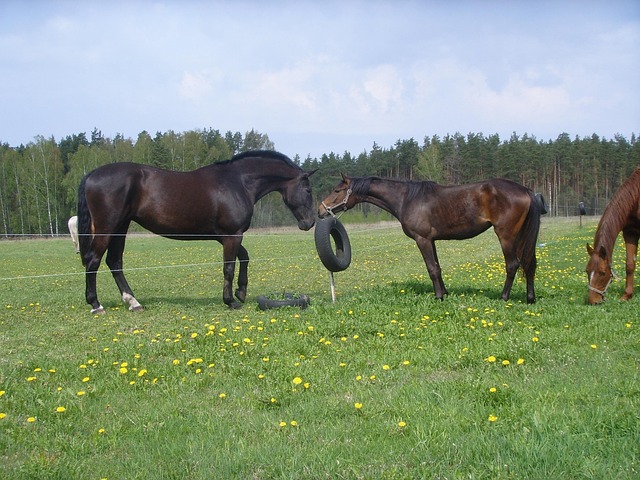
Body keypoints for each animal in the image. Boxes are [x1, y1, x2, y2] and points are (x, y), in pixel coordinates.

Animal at [77, 150, 316, 314]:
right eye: (308, 189)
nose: (309, 222)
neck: (238, 182)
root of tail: (91, 174)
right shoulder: (232, 235)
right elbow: (229, 268)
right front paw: (231, 300)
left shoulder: (226, 236)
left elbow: (245, 257)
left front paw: (241, 291)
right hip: (108, 228)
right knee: (94, 261)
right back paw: (96, 304)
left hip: (121, 227)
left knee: (114, 262)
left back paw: (133, 302)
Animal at [319, 174, 545, 303]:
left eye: (337, 190)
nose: (321, 210)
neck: (407, 199)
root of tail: (526, 191)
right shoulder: (432, 240)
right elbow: (438, 267)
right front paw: (444, 293)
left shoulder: (423, 239)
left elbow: (432, 269)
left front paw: (438, 297)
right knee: (530, 264)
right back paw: (530, 299)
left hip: (506, 236)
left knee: (512, 265)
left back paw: (504, 297)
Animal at [586, 166, 640, 304]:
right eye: (587, 271)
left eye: (602, 272)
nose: (593, 301)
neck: (637, 197)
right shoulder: (630, 233)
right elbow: (630, 264)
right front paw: (627, 295)